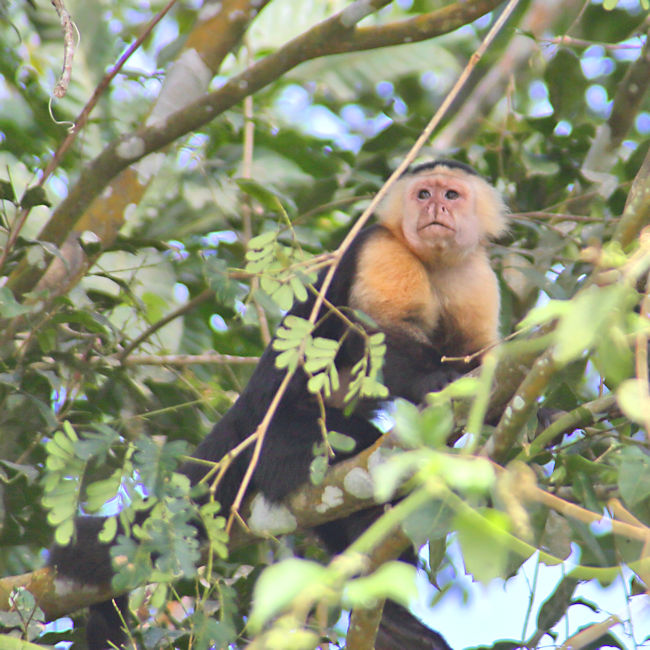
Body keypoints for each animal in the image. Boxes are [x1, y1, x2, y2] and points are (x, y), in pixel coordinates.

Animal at [49, 159, 506, 644]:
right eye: (423, 194)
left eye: (451, 195)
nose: (435, 207)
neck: (434, 262)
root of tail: (241, 417)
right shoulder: (382, 249)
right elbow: (376, 336)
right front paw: (438, 380)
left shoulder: (475, 273)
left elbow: (482, 356)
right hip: (281, 438)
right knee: (353, 464)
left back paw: (392, 617)